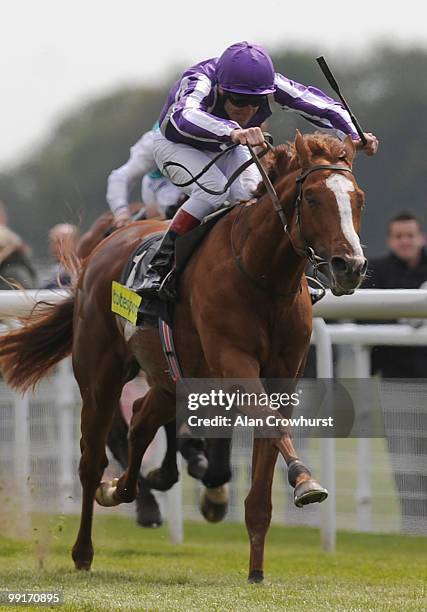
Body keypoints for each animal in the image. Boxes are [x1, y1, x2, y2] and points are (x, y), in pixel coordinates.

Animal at [0, 131, 368, 580]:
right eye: (313, 197)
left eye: (358, 199)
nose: (350, 266)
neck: (262, 276)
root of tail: (98, 252)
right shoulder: (235, 363)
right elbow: (265, 426)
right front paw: (305, 480)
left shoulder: (283, 375)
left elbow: (262, 463)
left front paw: (257, 569)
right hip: (100, 374)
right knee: (92, 460)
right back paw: (85, 548)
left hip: (169, 376)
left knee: (141, 420)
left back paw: (124, 489)